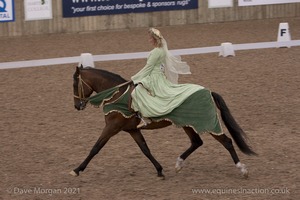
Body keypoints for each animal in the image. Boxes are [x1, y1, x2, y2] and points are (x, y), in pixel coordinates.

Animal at [69, 66, 255, 180]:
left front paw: (77, 170)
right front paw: (159, 171)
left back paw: (243, 169)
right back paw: (179, 164)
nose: (77, 106)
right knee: (196, 142)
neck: (117, 94)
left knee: (227, 142)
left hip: (207, 124)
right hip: (188, 124)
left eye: (74, 84)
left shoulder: (111, 127)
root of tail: (208, 91)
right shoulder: (132, 130)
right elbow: (145, 149)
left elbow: (95, 148)